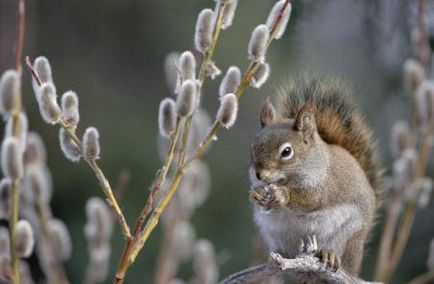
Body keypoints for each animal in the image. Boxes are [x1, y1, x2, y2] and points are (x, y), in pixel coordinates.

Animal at [249, 74, 382, 276]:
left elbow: (311, 199)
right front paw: (256, 194)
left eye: (286, 151)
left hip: (349, 236)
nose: (259, 175)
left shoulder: (326, 184)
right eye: (253, 147)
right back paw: (281, 254)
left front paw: (283, 195)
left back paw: (330, 255)